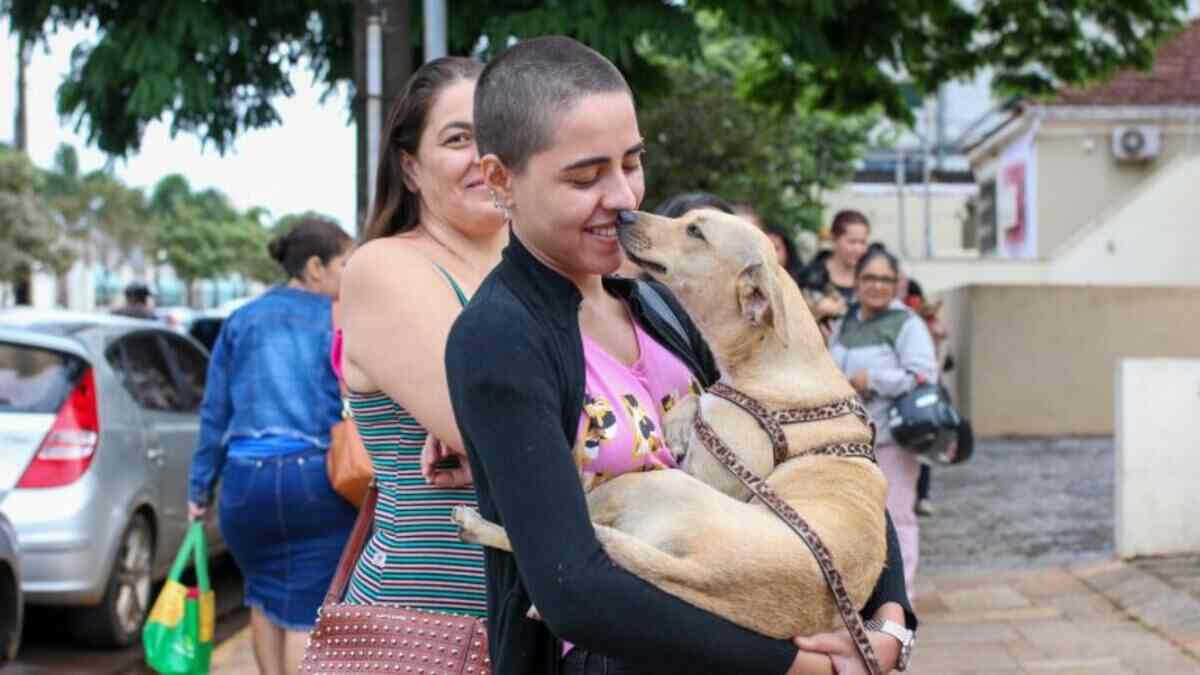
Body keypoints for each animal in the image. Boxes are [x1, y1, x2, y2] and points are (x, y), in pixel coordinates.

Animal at [453, 208, 888, 634]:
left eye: (695, 231)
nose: (623, 214)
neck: (776, 356)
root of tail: (695, 571)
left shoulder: (714, 470)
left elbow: (702, 401)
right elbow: (698, 396)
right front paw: (680, 425)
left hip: (644, 483)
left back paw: (475, 524)